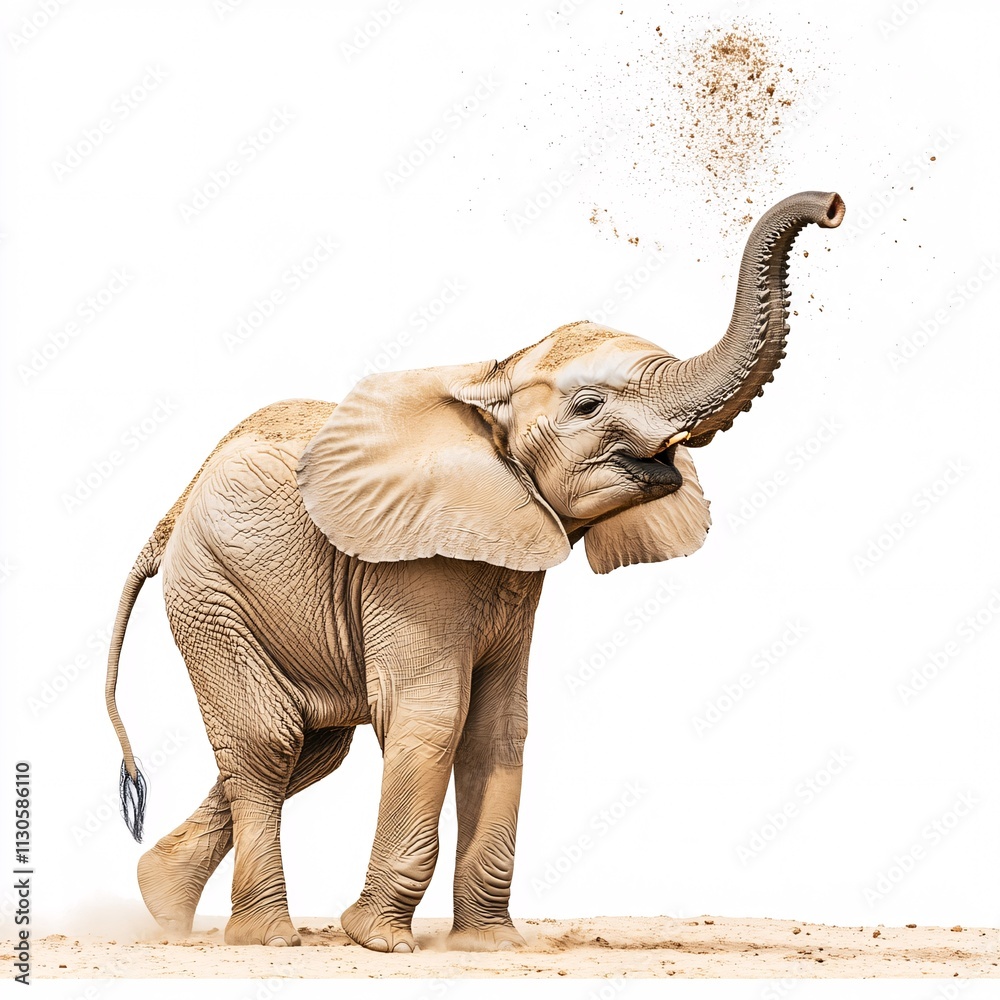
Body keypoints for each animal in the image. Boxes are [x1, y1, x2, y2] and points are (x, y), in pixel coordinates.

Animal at [105, 190, 844, 952]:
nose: (833, 207)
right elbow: (433, 715)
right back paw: (264, 938)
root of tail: (171, 511)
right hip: (211, 591)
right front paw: (379, 942)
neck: (490, 377)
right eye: (588, 406)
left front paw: (489, 945)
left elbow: (499, 726)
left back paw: (162, 905)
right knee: (271, 741)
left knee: (312, 746)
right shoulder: (414, 564)